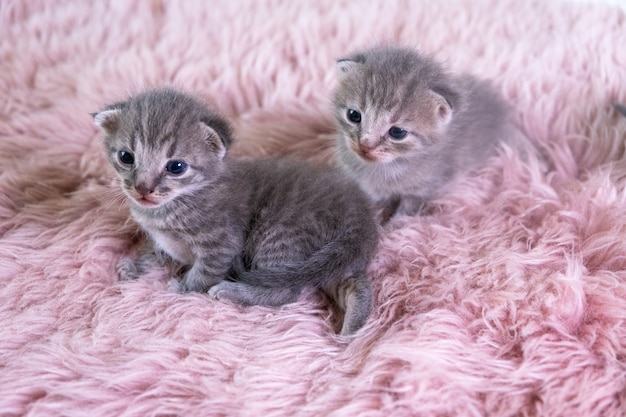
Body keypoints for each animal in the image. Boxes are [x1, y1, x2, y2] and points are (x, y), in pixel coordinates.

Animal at [92, 87, 376, 334]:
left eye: (176, 167)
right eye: (126, 157)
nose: (143, 188)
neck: (174, 204)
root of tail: (360, 211)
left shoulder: (222, 245)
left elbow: (203, 273)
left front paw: (182, 289)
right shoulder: (160, 238)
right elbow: (153, 250)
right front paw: (135, 267)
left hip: (281, 234)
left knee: (288, 291)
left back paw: (231, 291)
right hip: (330, 263)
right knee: (356, 286)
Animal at [332, 46, 512, 223]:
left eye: (397, 132)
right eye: (353, 115)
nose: (365, 145)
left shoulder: (425, 190)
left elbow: (404, 216)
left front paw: (391, 230)